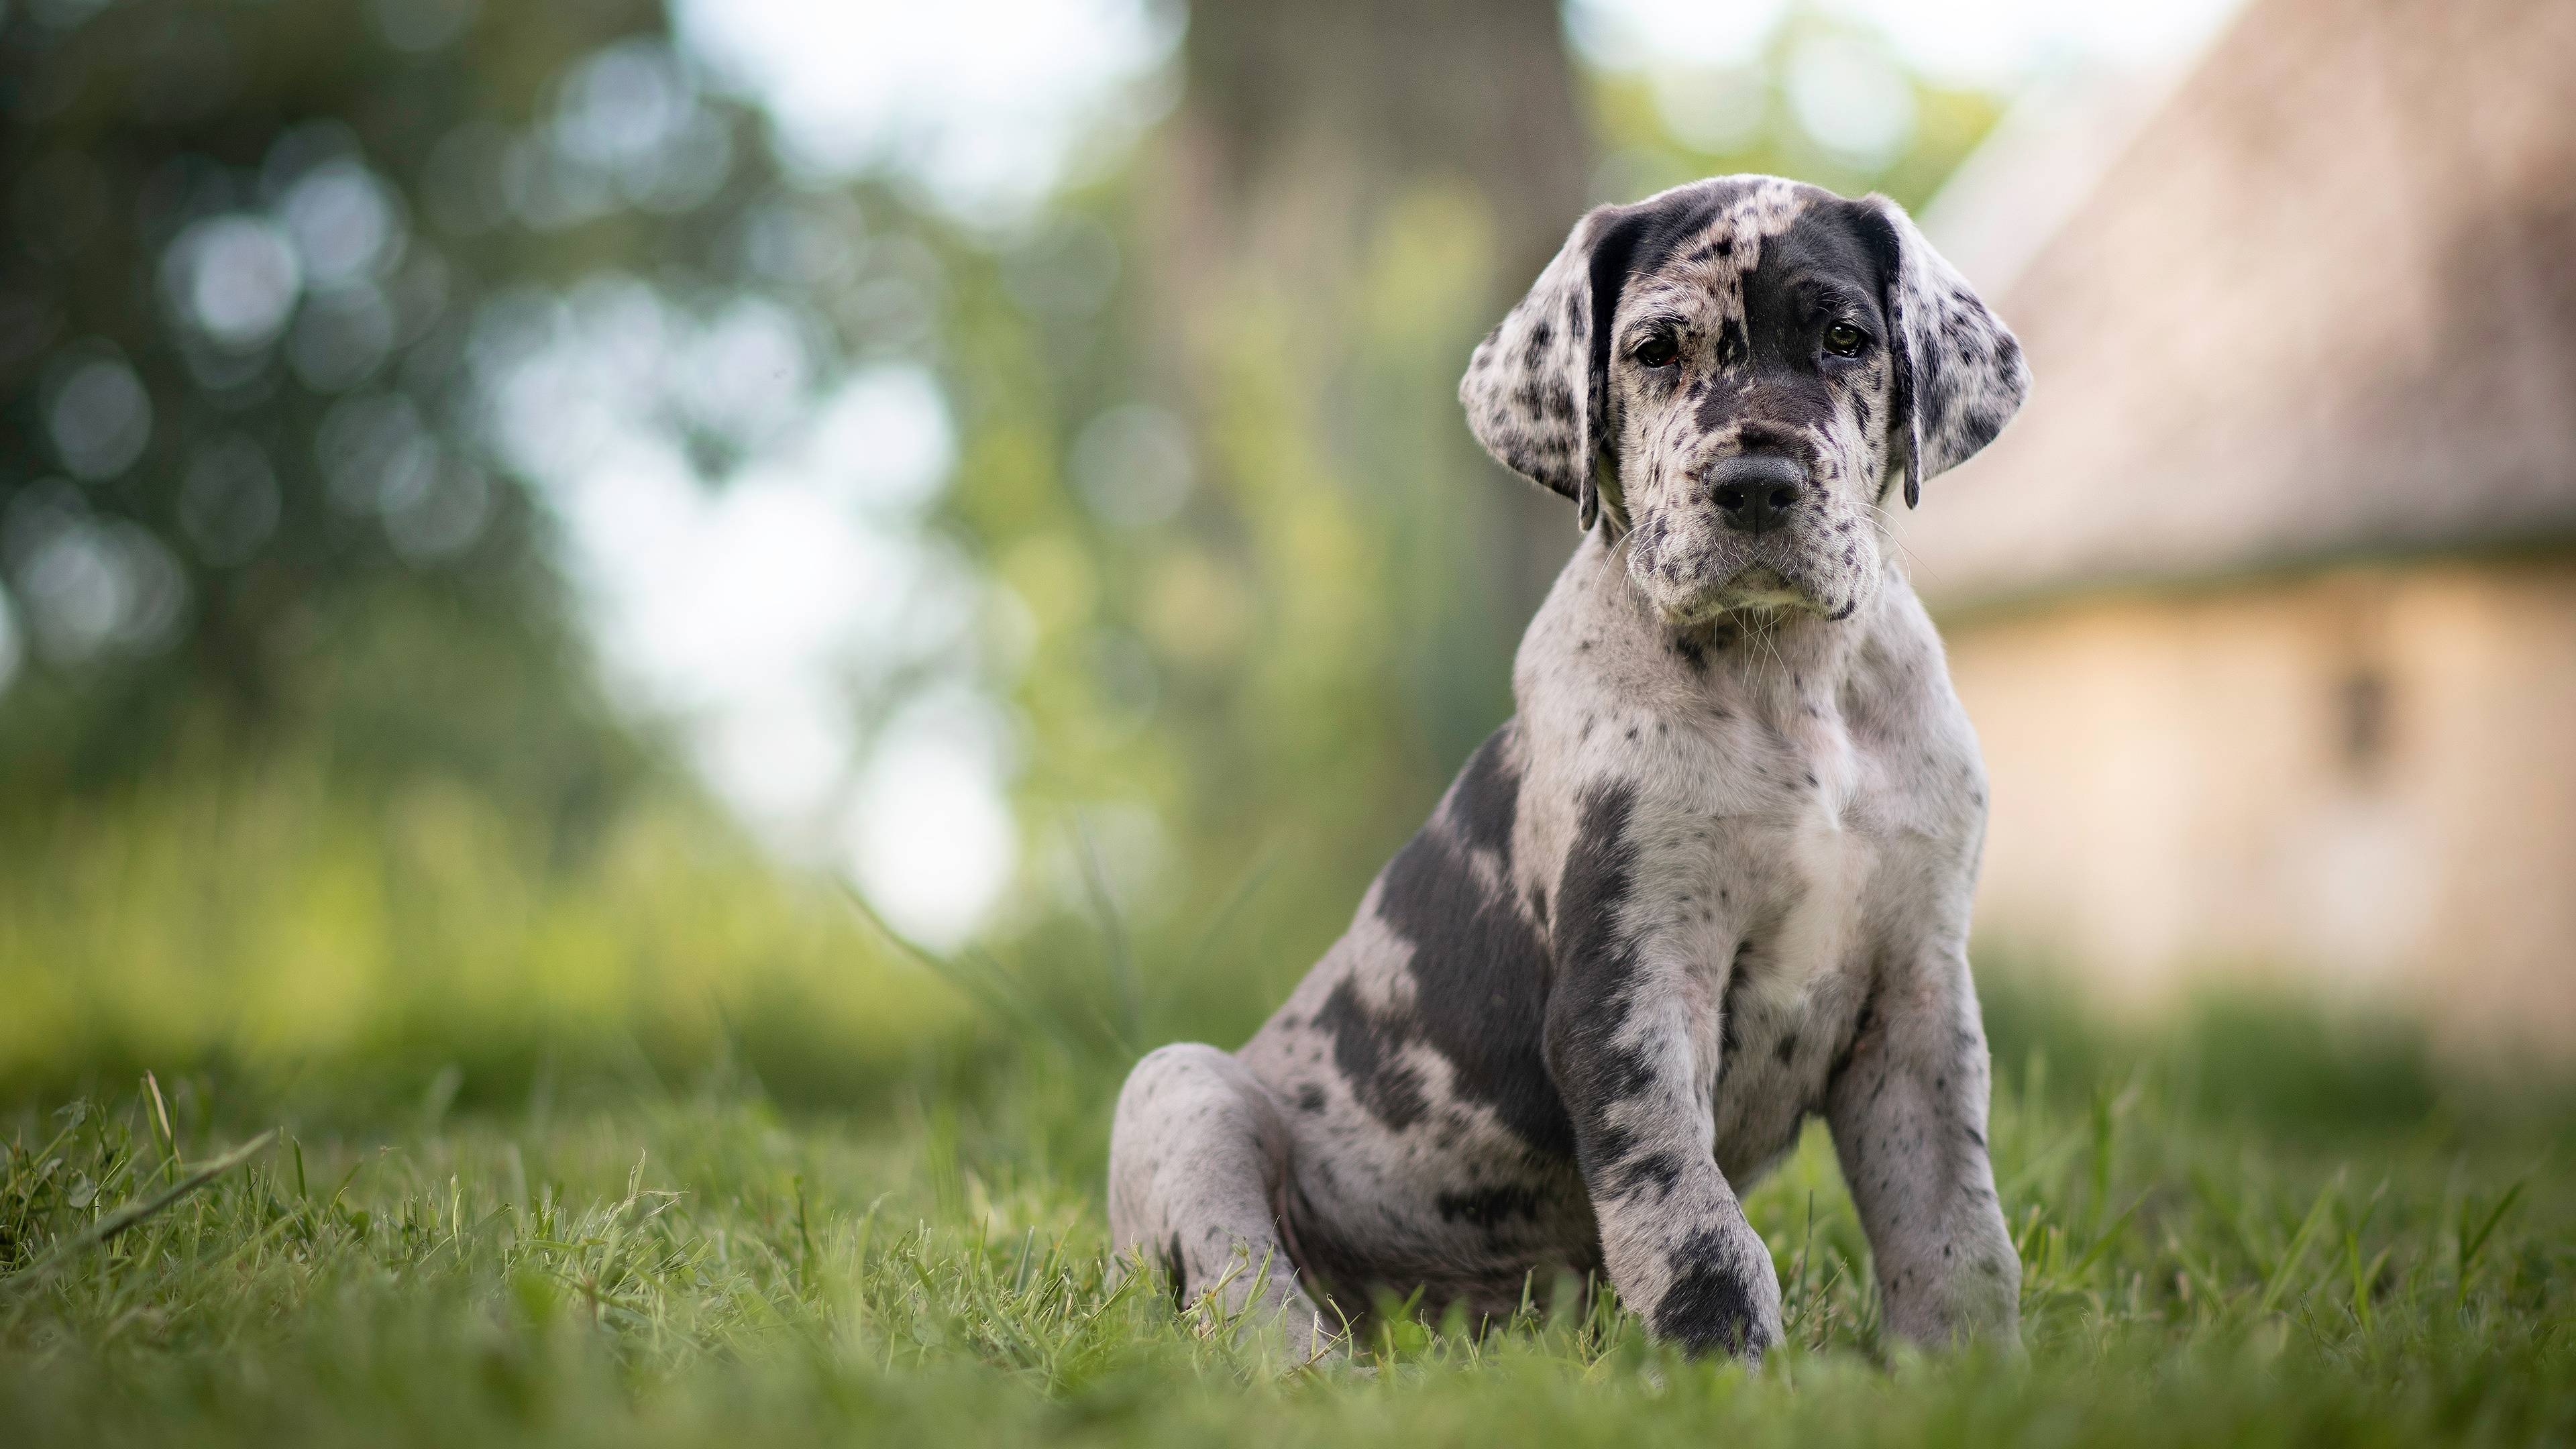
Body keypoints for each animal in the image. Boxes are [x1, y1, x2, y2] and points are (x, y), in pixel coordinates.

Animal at [1108, 175, 2029, 1361]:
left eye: (1846, 340)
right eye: (1654, 351)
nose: (1756, 483)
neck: (1790, 680)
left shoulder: (1915, 999)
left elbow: (1953, 1227)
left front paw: (1974, 1371)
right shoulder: (1630, 987)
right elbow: (1691, 1220)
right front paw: (1724, 1369)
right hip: (1183, 1090)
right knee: (1242, 1283)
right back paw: (1315, 1371)